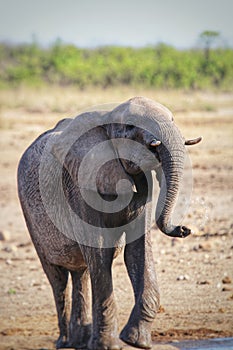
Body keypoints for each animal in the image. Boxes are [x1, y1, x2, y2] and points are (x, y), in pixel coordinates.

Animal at [17, 96, 201, 350]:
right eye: (130, 127)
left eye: (173, 119)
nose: (184, 229)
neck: (109, 115)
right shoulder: (80, 184)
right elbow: (100, 253)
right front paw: (110, 345)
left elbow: (137, 251)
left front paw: (136, 341)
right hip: (31, 218)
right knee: (58, 277)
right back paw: (65, 342)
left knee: (81, 272)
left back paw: (80, 341)